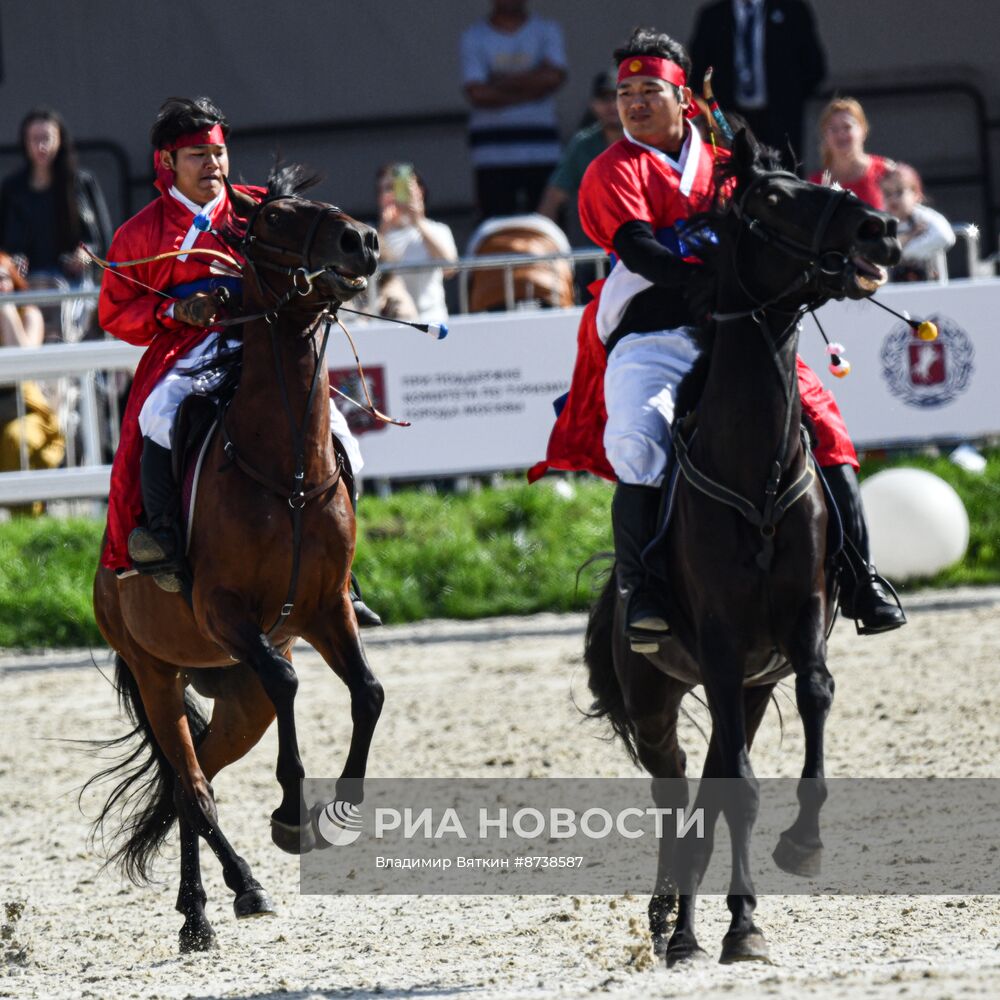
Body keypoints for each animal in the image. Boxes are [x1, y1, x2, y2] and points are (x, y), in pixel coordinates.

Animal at [89, 166, 382, 952]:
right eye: (276, 218)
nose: (363, 240)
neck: (288, 474)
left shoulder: (324, 608)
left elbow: (367, 693)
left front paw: (341, 812)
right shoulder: (226, 615)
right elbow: (288, 680)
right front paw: (289, 813)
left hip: (235, 698)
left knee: (196, 778)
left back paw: (211, 899)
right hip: (158, 673)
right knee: (190, 784)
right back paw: (221, 898)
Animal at [584, 133, 904, 968]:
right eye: (771, 201)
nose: (881, 229)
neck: (750, 466)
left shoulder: (797, 627)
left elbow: (815, 704)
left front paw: (799, 852)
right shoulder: (724, 644)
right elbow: (742, 792)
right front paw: (738, 927)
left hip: (754, 689)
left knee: (708, 794)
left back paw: (690, 923)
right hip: (658, 697)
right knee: (678, 794)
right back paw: (672, 919)